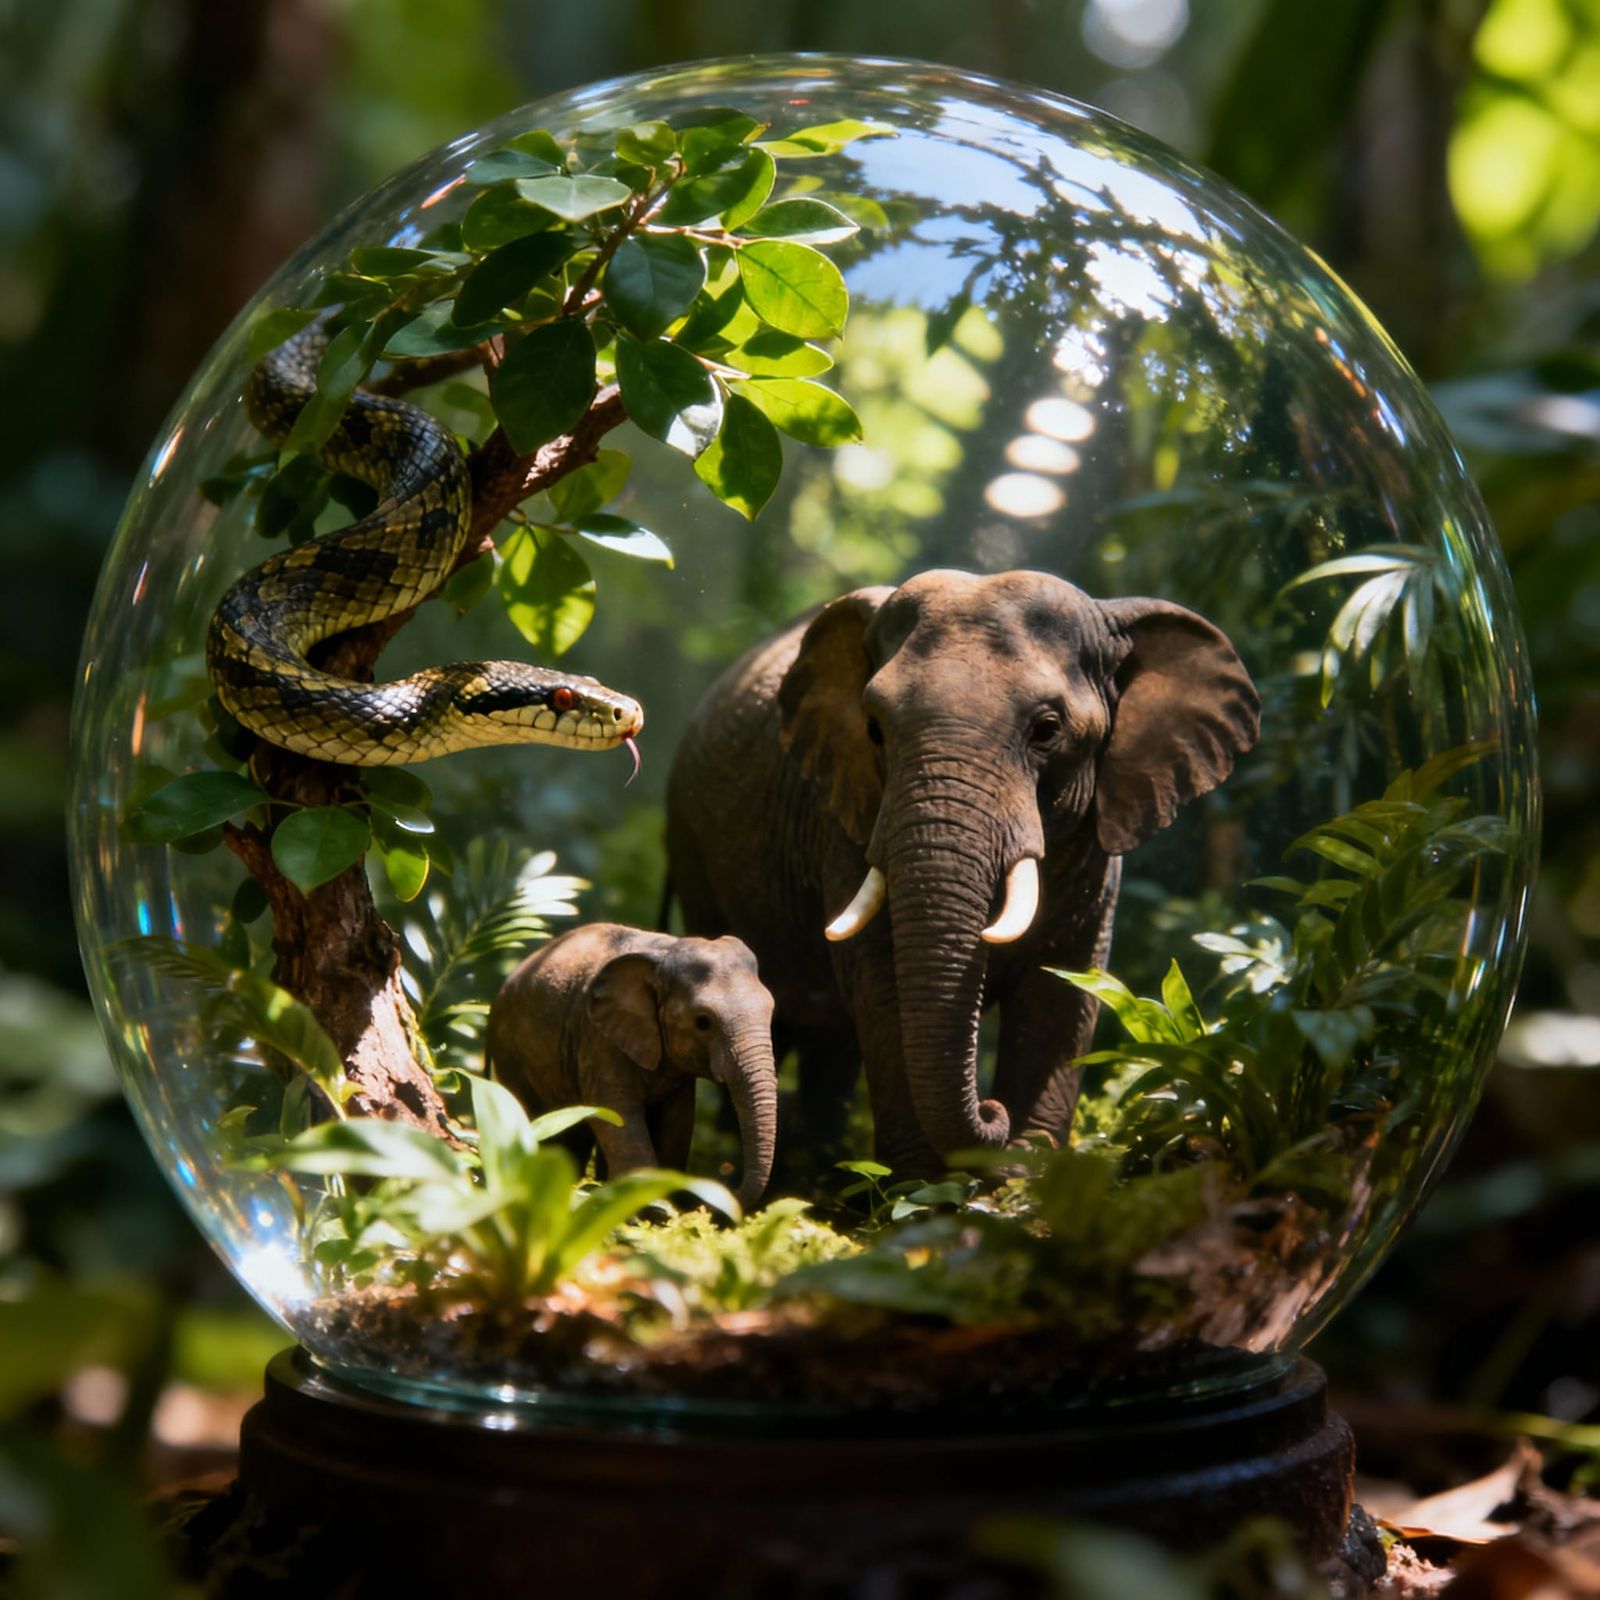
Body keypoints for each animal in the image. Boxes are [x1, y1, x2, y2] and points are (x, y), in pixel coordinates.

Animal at [485, 924, 778, 1207]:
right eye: (703, 1022)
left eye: (771, 1010)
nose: (728, 1186)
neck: (665, 952)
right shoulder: (599, 1042)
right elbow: (619, 1113)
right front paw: (644, 1208)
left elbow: (677, 1123)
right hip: (511, 1054)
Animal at [664, 568, 1260, 1176]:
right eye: (874, 728)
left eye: (1047, 729)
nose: (992, 1112)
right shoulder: (850, 819)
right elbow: (883, 985)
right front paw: (921, 1185)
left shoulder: (1096, 853)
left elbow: (1062, 991)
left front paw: (1024, 1173)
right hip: (692, 847)